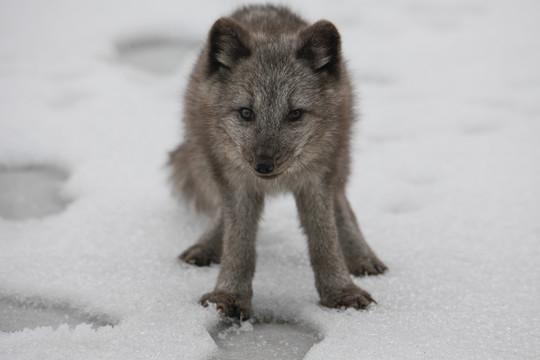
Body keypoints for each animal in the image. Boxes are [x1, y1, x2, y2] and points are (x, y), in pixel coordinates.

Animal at [169, 4, 384, 320]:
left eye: (295, 114)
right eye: (246, 112)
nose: (263, 166)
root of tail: (263, 7)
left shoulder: (316, 180)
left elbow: (325, 240)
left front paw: (341, 291)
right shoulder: (237, 183)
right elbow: (239, 243)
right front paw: (229, 295)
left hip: (340, 159)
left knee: (341, 203)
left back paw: (363, 256)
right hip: (204, 158)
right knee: (223, 213)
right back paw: (205, 247)